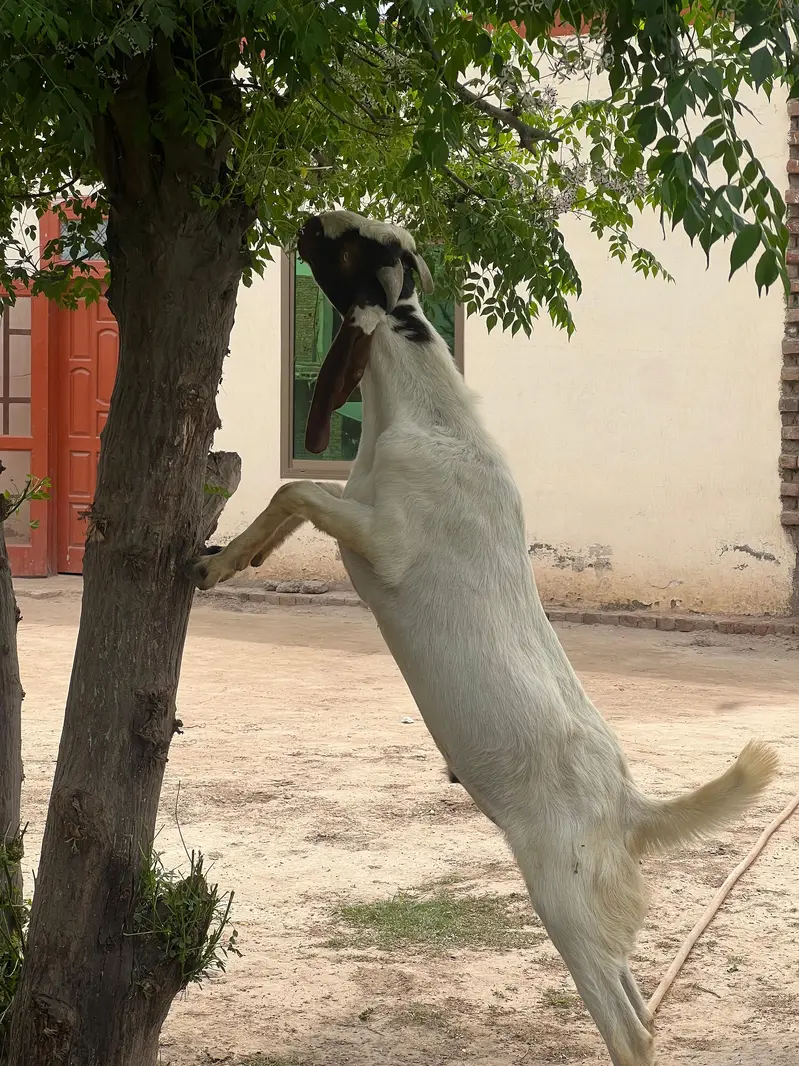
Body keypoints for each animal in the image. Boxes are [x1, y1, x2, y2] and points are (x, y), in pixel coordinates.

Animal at [187, 209, 778, 1066]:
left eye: (354, 244)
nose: (304, 221)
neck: (425, 419)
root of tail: (630, 809)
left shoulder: (385, 543)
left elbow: (294, 486)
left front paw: (212, 565)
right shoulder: (356, 514)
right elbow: (290, 499)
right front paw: (228, 561)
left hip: (562, 896)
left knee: (629, 1029)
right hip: (594, 908)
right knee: (640, 1001)